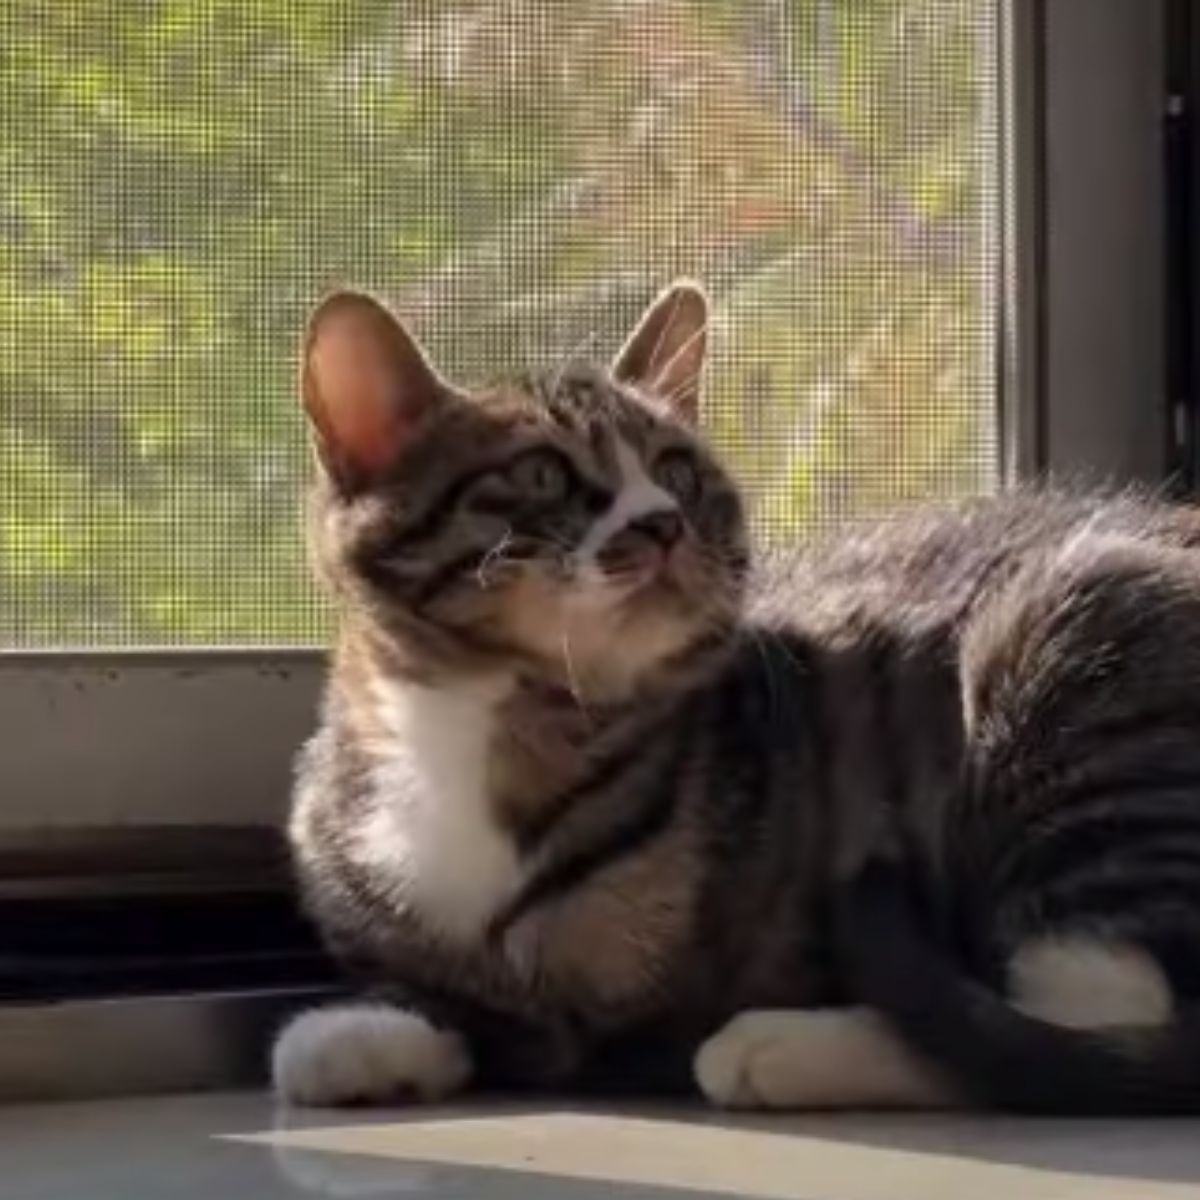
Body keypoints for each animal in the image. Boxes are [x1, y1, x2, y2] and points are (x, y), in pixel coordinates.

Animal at [274, 280, 1200, 1113]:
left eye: (677, 472)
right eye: (539, 472)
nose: (661, 521)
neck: (478, 726)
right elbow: (449, 1001)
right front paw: (373, 1032)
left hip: (1079, 650)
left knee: (1090, 1026)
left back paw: (787, 1048)